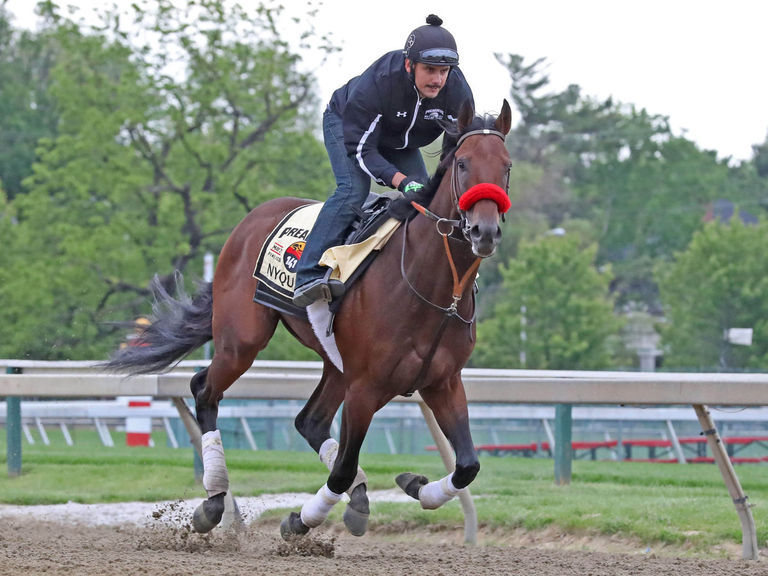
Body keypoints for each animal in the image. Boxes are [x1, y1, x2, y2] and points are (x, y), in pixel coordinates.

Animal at [106, 99, 510, 540]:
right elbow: (343, 467)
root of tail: (254, 216)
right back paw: (213, 502)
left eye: (506, 166)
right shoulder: (366, 387)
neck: (433, 287)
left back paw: (358, 494)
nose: (484, 231)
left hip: (336, 364)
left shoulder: (442, 382)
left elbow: (468, 465)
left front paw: (415, 485)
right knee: (205, 389)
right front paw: (301, 519)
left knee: (310, 421)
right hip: (242, 340)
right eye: (463, 164)